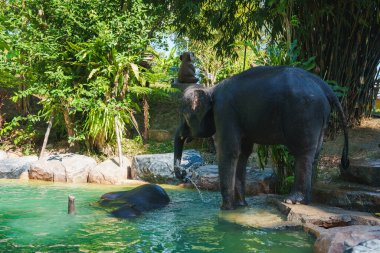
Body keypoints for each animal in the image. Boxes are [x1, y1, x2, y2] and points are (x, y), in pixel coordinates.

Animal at [174, 64, 348, 210]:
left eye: (184, 115)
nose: (183, 175)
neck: (211, 89)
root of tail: (325, 86)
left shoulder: (224, 111)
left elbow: (229, 152)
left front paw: (226, 209)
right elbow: (243, 154)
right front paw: (241, 206)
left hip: (305, 111)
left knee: (303, 153)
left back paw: (292, 200)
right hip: (320, 117)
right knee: (315, 154)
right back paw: (306, 202)